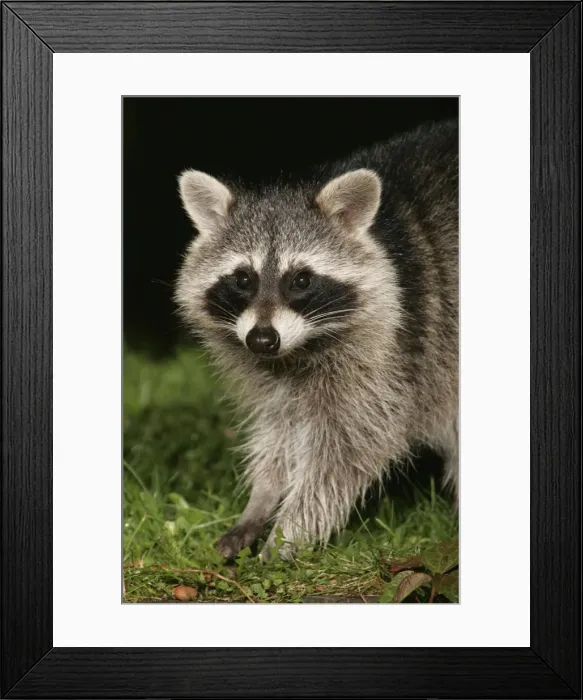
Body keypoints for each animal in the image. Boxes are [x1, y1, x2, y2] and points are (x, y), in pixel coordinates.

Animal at [175, 119, 458, 561]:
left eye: (301, 280)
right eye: (243, 279)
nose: (262, 339)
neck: (298, 351)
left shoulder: (391, 354)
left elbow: (348, 452)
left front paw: (288, 534)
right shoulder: (271, 375)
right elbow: (276, 430)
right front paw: (262, 497)